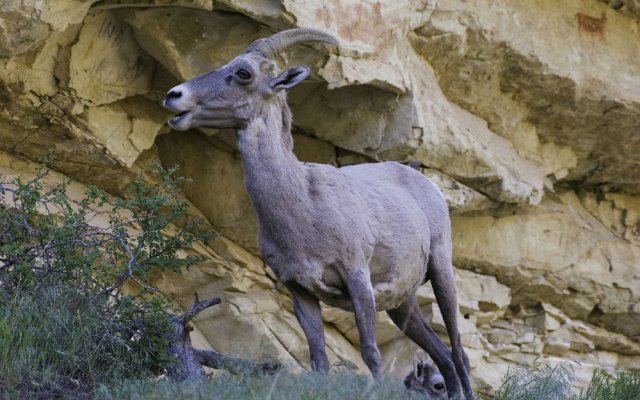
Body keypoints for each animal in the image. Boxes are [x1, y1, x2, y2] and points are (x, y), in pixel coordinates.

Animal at [165, 28, 472, 400]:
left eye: (243, 73)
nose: (173, 96)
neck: (303, 207)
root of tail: (422, 179)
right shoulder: (301, 292)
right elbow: (318, 360)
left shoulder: (356, 278)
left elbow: (371, 352)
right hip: (403, 305)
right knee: (443, 356)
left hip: (442, 271)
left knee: (459, 352)